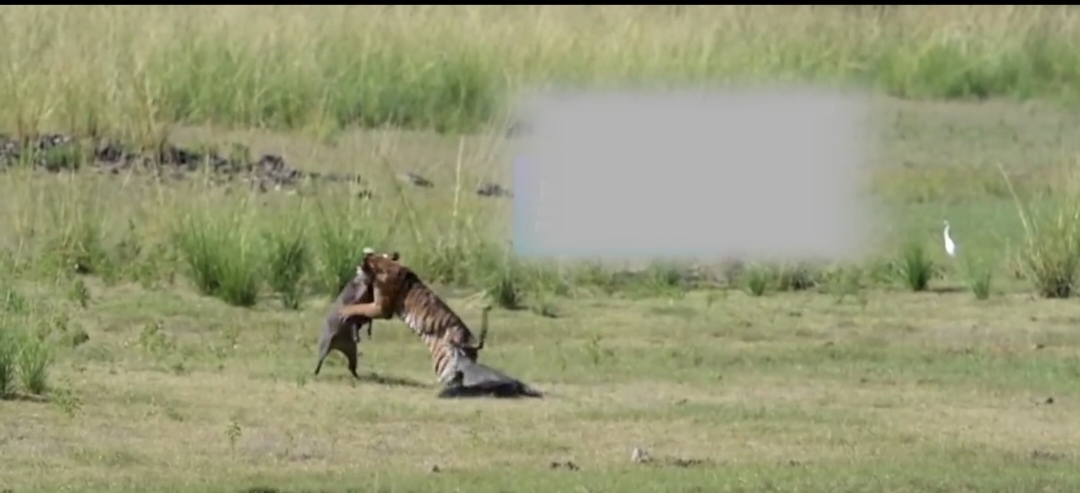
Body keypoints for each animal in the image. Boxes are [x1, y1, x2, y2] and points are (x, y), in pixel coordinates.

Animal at [337, 249, 488, 386]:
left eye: (359, 265)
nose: (356, 270)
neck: (382, 264)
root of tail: (470, 342)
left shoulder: (381, 308)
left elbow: (359, 307)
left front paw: (343, 310)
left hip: (443, 362)